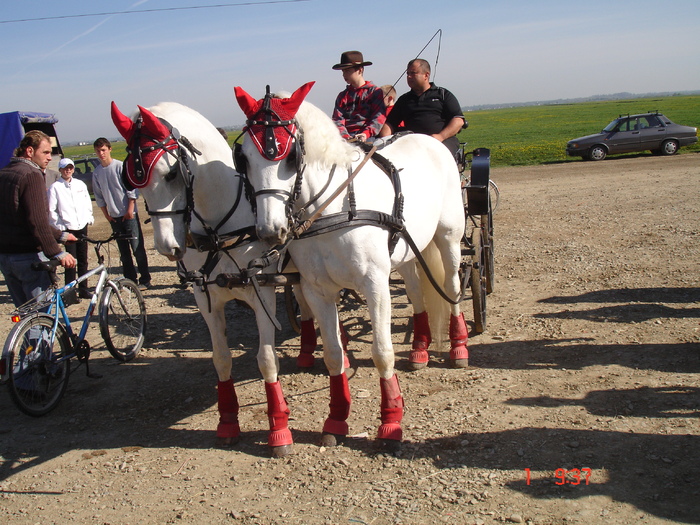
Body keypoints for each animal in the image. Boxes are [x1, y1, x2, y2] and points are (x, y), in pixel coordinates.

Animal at [109, 101, 306, 454]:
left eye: (172, 173)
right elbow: (221, 359)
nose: (167, 247)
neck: (221, 230)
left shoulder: (261, 292)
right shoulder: (205, 297)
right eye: (132, 179)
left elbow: (267, 359)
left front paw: (279, 429)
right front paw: (227, 422)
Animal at [235, 82, 470, 450]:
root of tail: (429, 139)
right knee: (416, 291)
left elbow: (382, 352)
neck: (334, 209)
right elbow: (333, 353)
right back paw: (419, 347)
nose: (270, 231)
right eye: (243, 157)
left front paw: (391, 421)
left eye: (290, 156)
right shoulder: (316, 291)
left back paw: (459, 347)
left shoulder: (374, 284)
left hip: (448, 237)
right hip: (406, 250)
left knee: (452, 287)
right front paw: (335, 419)